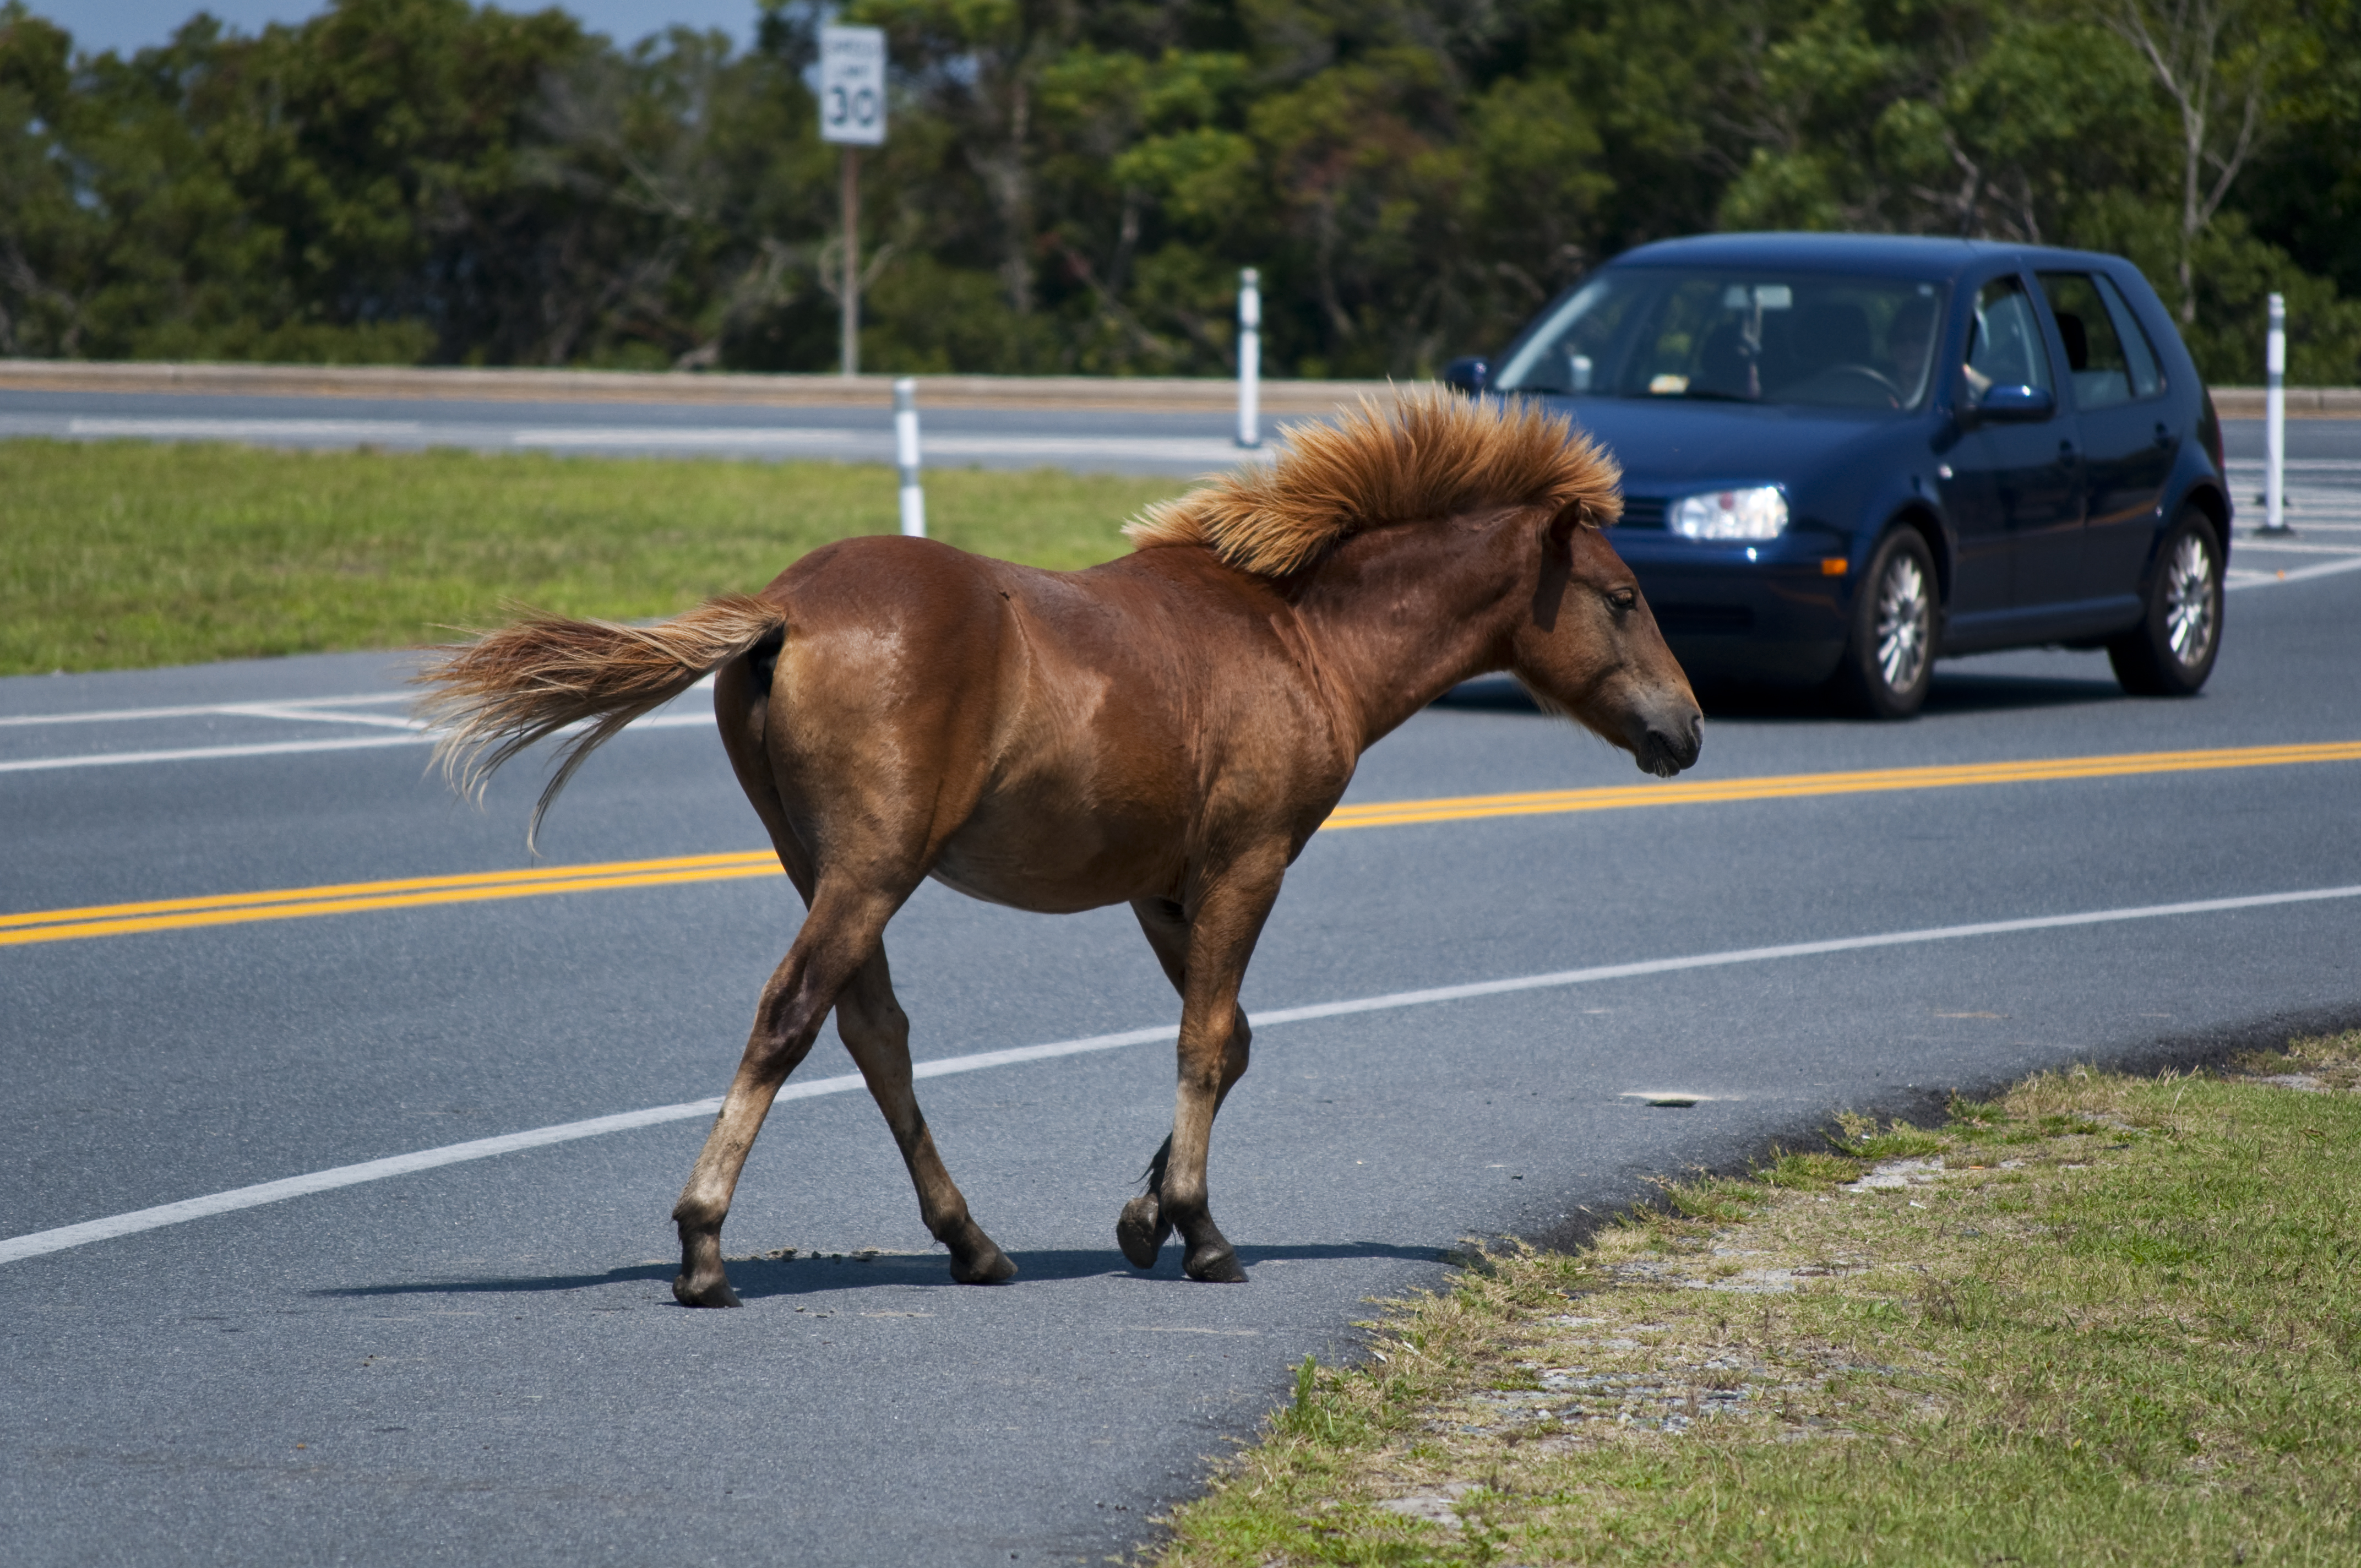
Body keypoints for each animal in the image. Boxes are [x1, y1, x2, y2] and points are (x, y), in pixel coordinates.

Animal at [420, 385, 1700, 1303]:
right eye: (1623, 595)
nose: (1683, 729)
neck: (1296, 636)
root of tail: (783, 607)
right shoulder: (1248, 861)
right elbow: (1205, 1043)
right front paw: (1201, 1232)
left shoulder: (1162, 887)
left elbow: (1230, 1039)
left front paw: (1144, 1215)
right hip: (871, 869)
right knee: (792, 1017)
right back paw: (703, 1247)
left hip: (823, 864)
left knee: (872, 1031)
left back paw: (972, 1242)